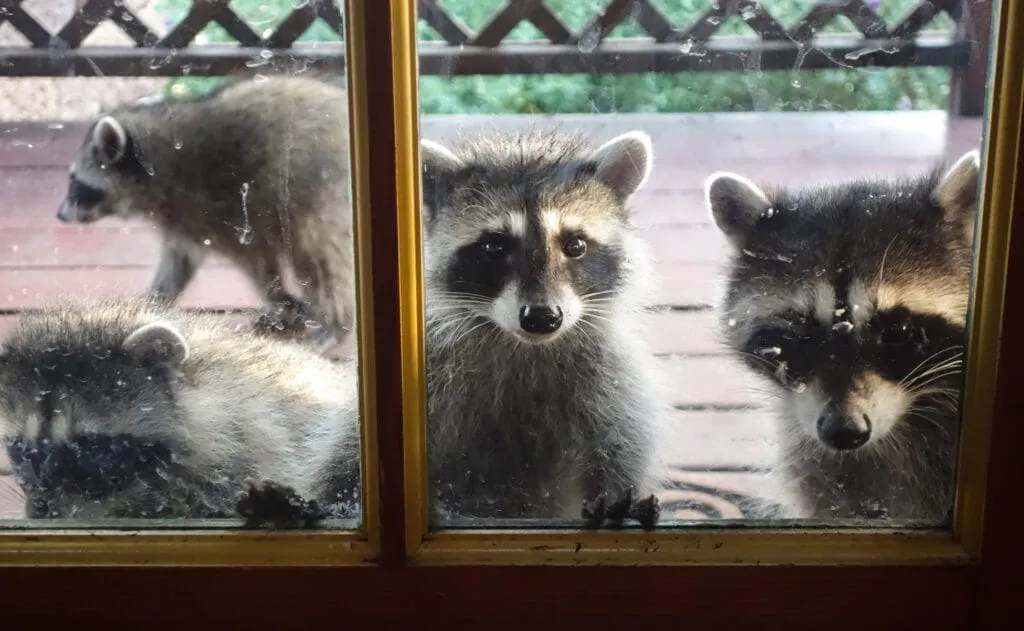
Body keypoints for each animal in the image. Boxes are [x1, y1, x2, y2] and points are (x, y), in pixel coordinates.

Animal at [56, 74, 355, 351]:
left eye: (75, 181)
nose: (60, 215)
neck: (155, 161)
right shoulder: (183, 219)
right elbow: (180, 261)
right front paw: (155, 299)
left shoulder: (221, 209)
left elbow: (257, 261)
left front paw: (280, 297)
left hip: (322, 195)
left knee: (322, 256)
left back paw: (336, 322)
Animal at [419, 129, 668, 528]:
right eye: (494, 247)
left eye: (575, 245)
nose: (542, 318)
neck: (527, 346)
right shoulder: (434, 373)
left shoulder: (613, 382)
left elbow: (622, 447)